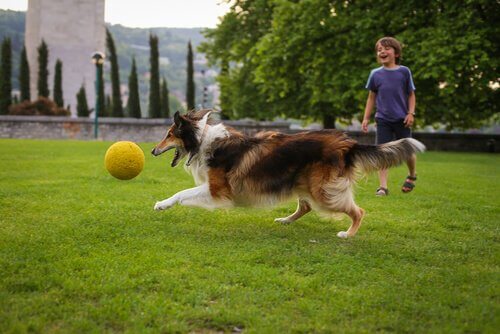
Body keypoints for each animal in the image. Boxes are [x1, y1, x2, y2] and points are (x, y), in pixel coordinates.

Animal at [150, 109, 424, 237]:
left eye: (169, 134)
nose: (152, 150)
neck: (202, 139)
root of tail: (348, 144)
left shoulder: (218, 189)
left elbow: (182, 193)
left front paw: (162, 204)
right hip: (303, 182)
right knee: (305, 206)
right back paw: (285, 220)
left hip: (323, 191)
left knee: (358, 211)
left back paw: (347, 233)